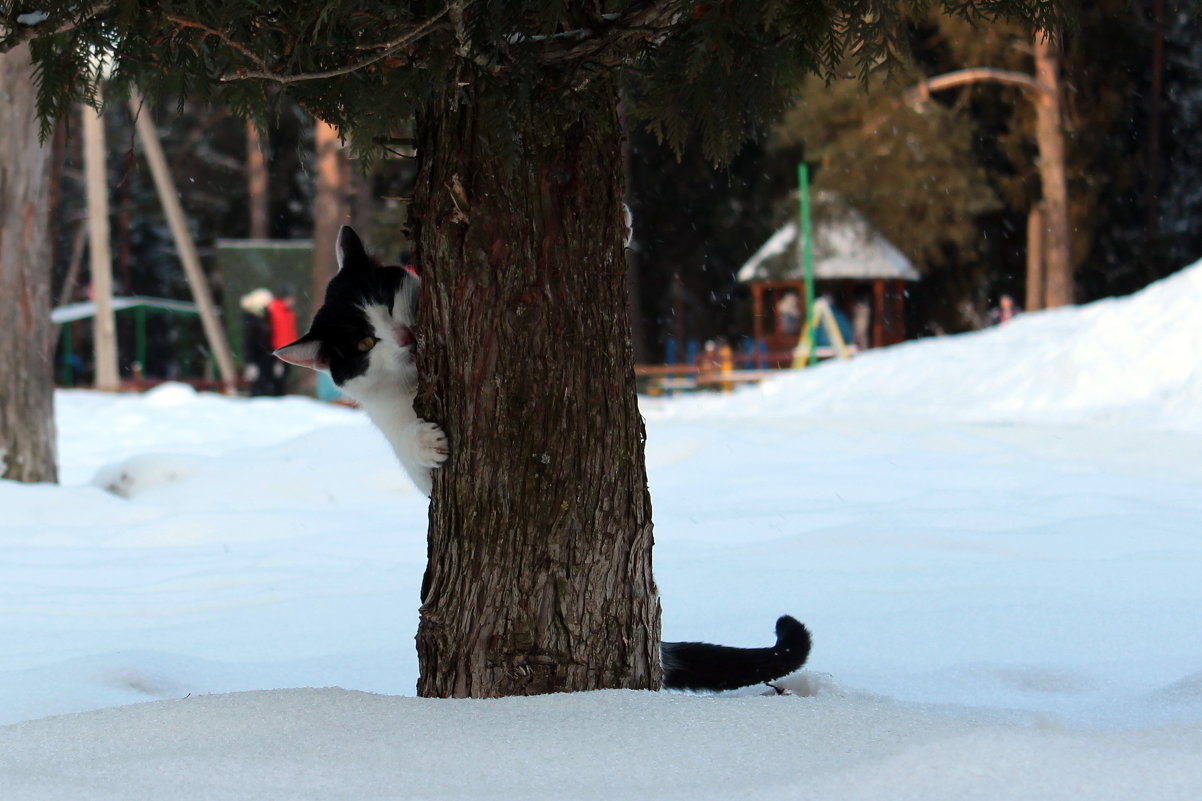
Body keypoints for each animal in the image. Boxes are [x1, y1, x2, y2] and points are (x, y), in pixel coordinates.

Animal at [276, 226, 812, 692]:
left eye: (388, 304)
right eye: (365, 343)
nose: (406, 337)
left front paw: (622, 225)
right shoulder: (388, 419)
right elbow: (406, 439)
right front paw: (425, 442)